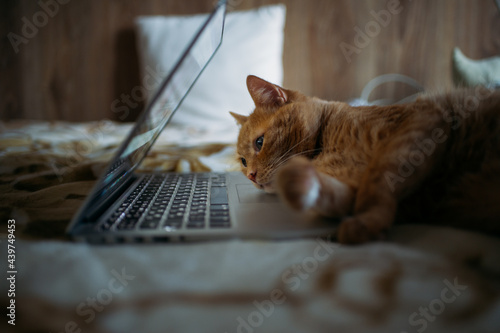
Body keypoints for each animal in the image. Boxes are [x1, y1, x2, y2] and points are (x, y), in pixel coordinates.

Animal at [230, 75, 500, 244]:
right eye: (243, 162)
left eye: (259, 143)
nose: (251, 176)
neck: (324, 147)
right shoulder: (347, 189)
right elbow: (336, 196)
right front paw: (301, 182)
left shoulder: (420, 124)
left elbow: (377, 181)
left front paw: (366, 223)